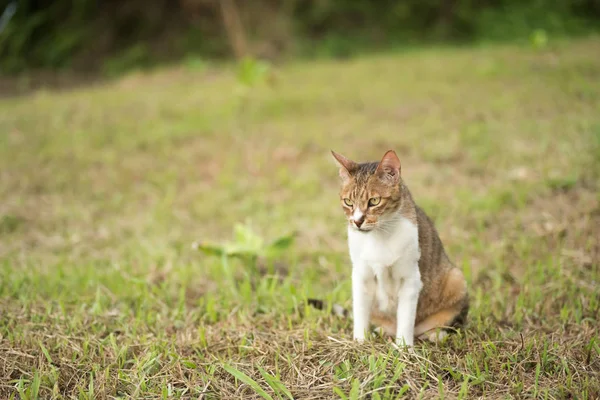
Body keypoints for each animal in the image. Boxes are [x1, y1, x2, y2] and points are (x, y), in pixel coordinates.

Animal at [310, 150, 468, 346]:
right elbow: (360, 312)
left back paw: (434, 334)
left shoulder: (410, 278)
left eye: (374, 201)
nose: (357, 221)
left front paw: (404, 348)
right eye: (348, 202)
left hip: (455, 278)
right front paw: (359, 342)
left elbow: (406, 319)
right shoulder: (361, 275)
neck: (379, 236)